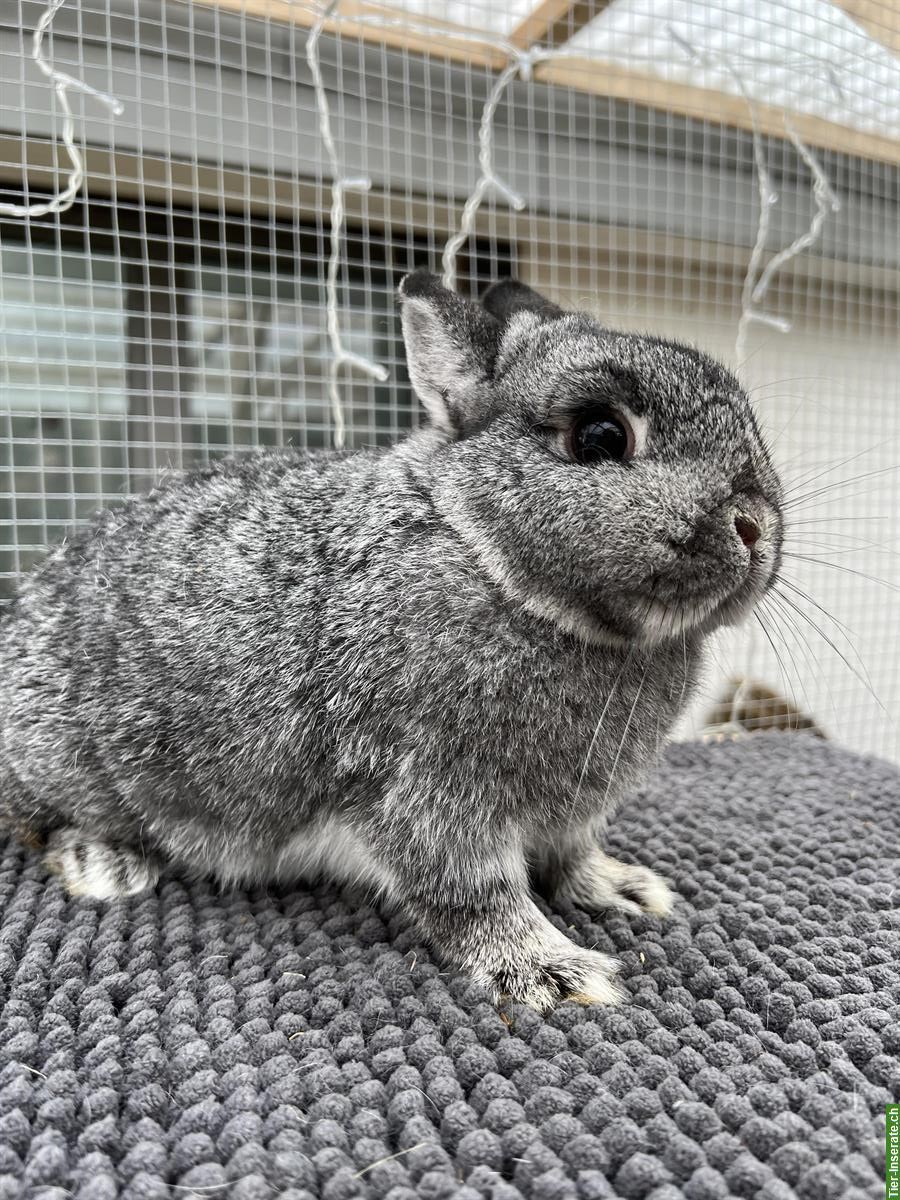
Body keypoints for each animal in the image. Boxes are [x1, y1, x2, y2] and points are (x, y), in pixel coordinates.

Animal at [0, 274, 782, 1012]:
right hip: (60, 758)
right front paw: (554, 974)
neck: (491, 561)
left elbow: (571, 859)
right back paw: (105, 867)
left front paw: (626, 890)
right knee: (42, 823)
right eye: (600, 437)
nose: (754, 526)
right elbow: (474, 894)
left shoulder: (569, 817)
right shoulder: (429, 791)